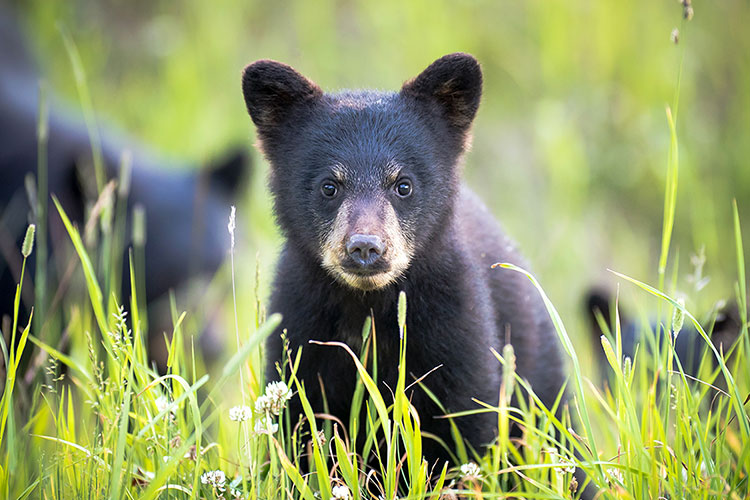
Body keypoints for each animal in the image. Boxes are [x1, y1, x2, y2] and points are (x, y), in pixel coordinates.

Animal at [241, 53, 566, 468]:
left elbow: (467, 426)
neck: (368, 308)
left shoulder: (454, 328)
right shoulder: (301, 332)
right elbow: (301, 433)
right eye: (329, 186)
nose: (365, 247)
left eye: (403, 184)